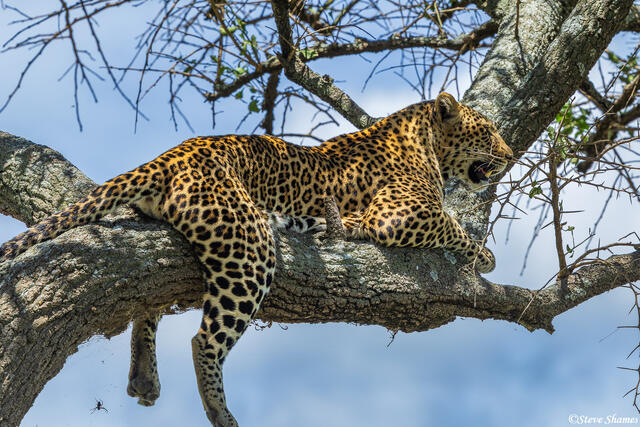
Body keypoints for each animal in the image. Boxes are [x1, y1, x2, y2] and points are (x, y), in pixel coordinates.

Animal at [0, 92, 512, 426]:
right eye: (488, 131)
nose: (509, 156)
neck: (423, 139)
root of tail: (169, 156)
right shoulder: (402, 213)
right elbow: (453, 225)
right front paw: (485, 255)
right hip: (250, 248)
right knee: (203, 341)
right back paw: (221, 413)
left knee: (148, 300)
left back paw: (145, 376)